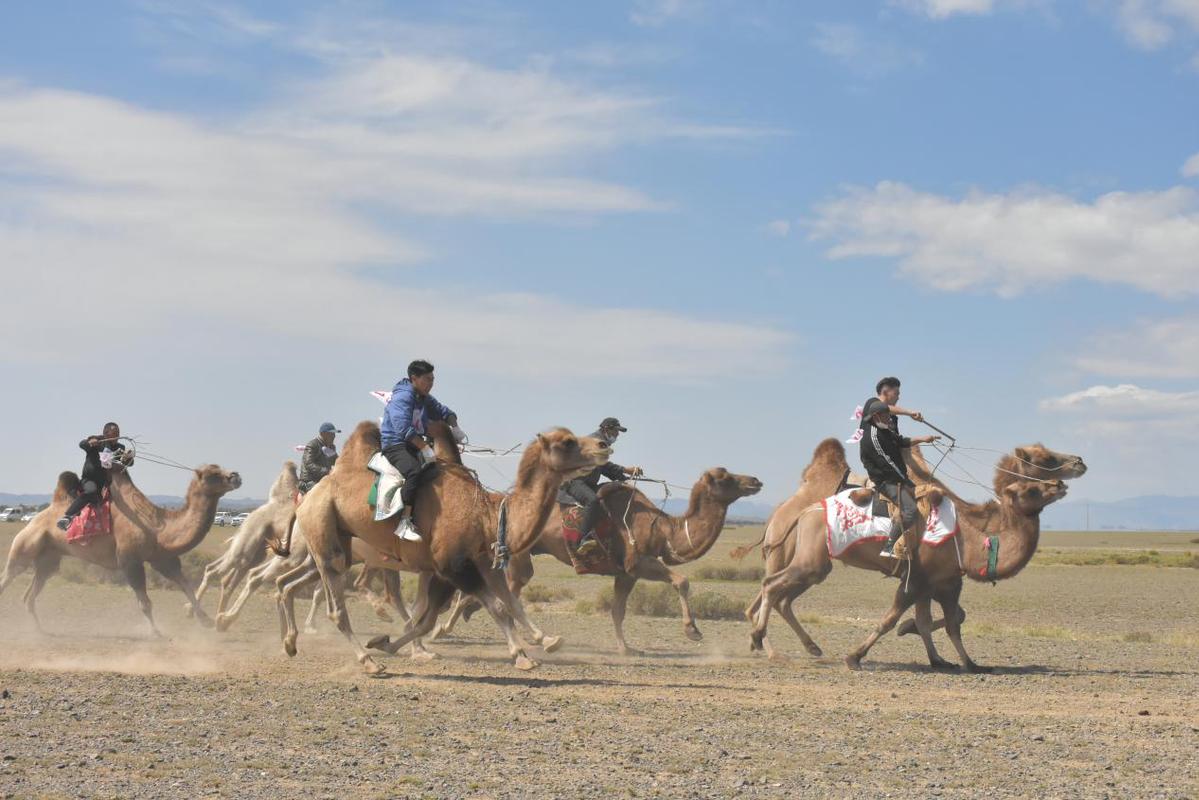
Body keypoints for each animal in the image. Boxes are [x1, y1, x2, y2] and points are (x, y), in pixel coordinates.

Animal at [0, 460, 243, 633]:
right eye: (213, 474)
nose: (236, 476)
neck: (157, 528)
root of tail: (41, 515)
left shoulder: (162, 559)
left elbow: (185, 585)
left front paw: (206, 620)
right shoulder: (130, 560)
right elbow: (145, 602)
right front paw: (157, 632)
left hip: (49, 557)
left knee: (31, 593)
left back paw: (39, 629)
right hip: (25, 545)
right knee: (9, 574)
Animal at [280, 422, 609, 671]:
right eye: (567, 442)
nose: (603, 444)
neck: (487, 515)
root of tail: (305, 498)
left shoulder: (478, 563)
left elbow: (505, 605)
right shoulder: (452, 566)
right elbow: (495, 607)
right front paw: (522, 655)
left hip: (336, 548)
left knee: (288, 584)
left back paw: (291, 642)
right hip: (325, 537)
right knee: (336, 602)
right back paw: (367, 660)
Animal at [436, 470, 762, 657]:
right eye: (725, 477)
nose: (756, 481)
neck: (662, 528)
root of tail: (500, 504)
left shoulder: (625, 573)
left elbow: (618, 610)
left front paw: (625, 648)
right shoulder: (637, 562)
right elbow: (682, 581)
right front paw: (692, 630)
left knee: (491, 589)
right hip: (518, 553)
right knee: (509, 590)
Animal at [743, 441, 1083, 671]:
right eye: (1044, 460)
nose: (1067, 474)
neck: (969, 533)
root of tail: (803, 511)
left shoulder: (944, 582)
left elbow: (945, 622)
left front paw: (957, 661)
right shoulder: (916, 578)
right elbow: (892, 619)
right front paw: (855, 656)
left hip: (814, 564)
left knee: (779, 595)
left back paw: (799, 646)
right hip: (804, 559)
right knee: (771, 587)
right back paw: (762, 642)